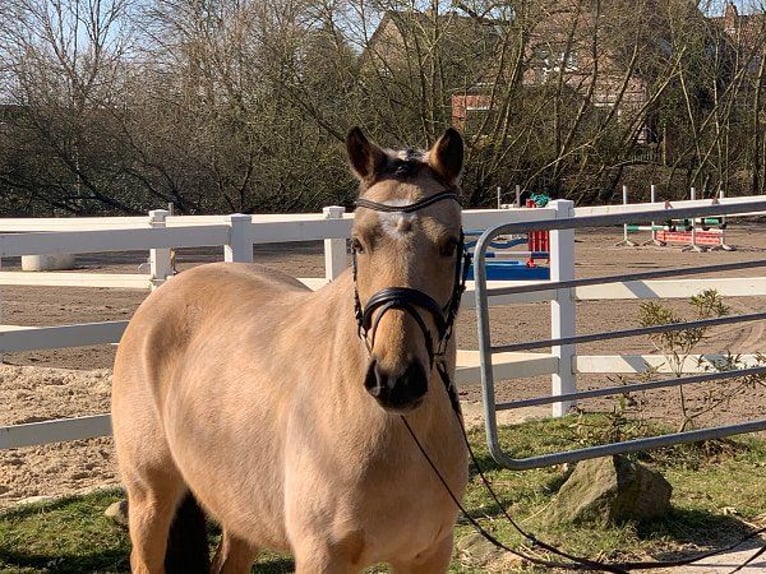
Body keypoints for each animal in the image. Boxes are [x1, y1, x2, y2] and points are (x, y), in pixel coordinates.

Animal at [112, 127, 474, 574]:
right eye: (358, 244)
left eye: (450, 245)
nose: (396, 380)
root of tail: (164, 293)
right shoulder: (323, 557)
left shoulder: (428, 554)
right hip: (150, 495)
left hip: (239, 511)